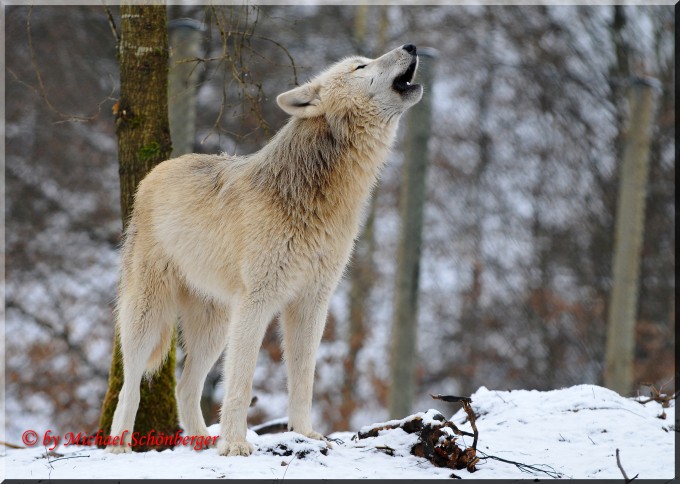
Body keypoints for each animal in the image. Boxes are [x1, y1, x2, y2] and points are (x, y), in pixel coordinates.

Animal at [108, 43, 422, 456]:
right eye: (360, 66)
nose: (411, 46)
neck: (319, 197)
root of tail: (155, 171)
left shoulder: (312, 302)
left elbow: (303, 379)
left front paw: (305, 433)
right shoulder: (257, 301)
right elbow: (241, 382)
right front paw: (234, 445)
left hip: (215, 327)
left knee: (185, 385)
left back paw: (200, 442)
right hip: (150, 314)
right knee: (129, 384)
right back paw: (119, 447)